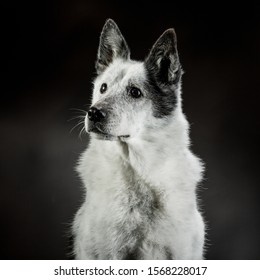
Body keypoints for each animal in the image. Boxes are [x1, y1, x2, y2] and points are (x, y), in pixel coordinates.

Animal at [72, 19, 204, 260]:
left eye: (135, 92)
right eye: (103, 88)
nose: (93, 113)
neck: (137, 170)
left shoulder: (180, 252)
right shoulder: (109, 252)